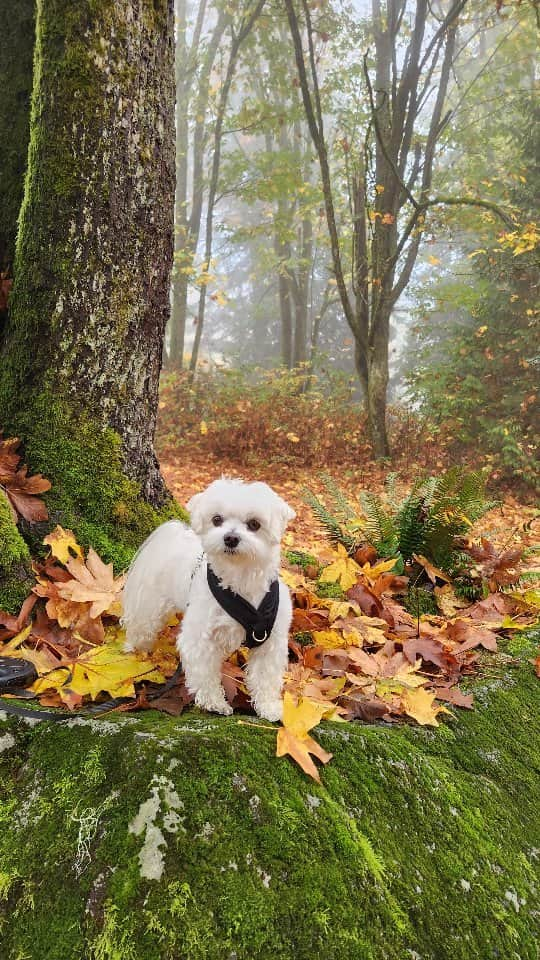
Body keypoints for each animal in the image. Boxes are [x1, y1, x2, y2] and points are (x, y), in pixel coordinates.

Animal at [122, 480, 296, 720]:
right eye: (217, 519)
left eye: (254, 524)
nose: (230, 538)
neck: (240, 579)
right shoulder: (199, 638)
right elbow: (204, 673)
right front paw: (214, 703)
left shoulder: (270, 642)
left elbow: (265, 677)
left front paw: (269, 707)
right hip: (149, 608)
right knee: (140, 630)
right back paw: (132, 651)